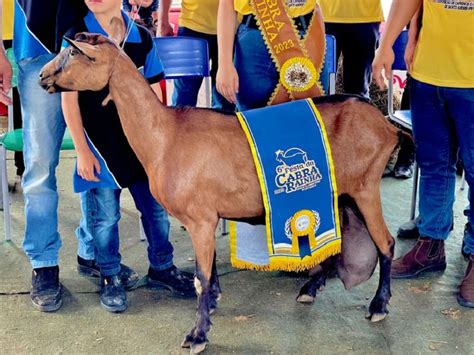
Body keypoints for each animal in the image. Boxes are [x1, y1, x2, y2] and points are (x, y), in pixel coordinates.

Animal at [39, 29, 406, 354]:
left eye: (73, 53)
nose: (42, 76)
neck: (165, 135)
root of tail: (386, 125)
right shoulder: (206, 217)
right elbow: (209, 271)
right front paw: (213, 302)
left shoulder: (200, 219)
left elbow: (200, 278)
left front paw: (198, 335)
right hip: (338, 196)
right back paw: (309, 289)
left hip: (365, 187)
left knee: (386, 243)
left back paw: (378, 306)